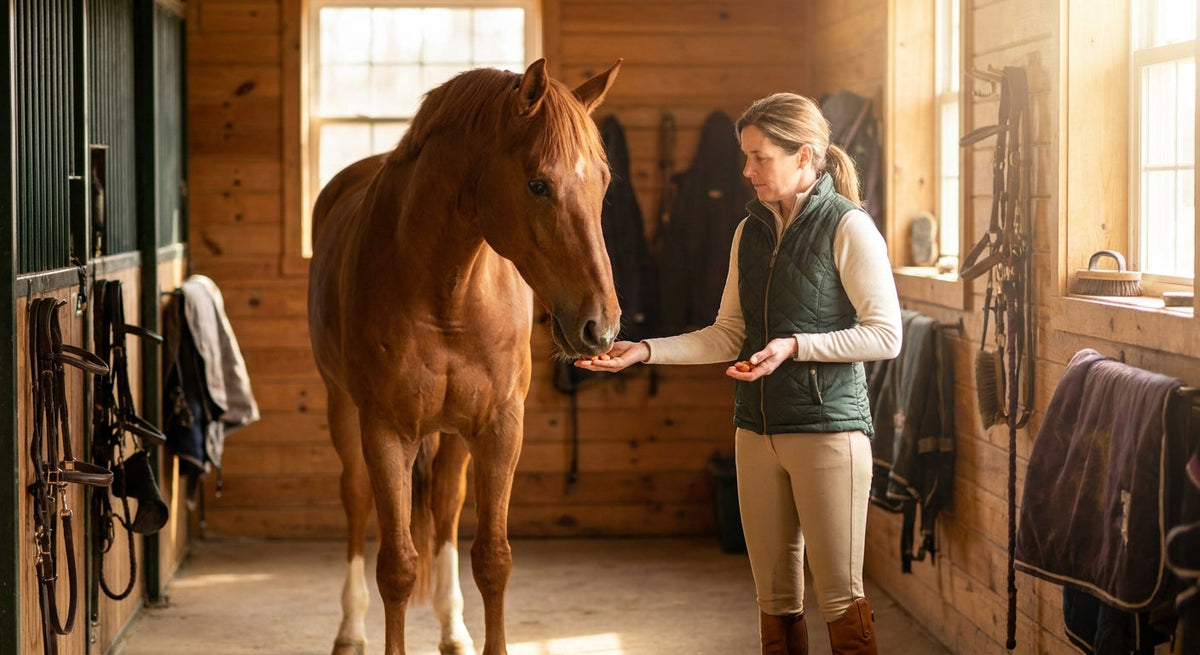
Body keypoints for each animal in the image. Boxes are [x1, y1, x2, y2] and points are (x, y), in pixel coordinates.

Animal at [307, 58, 623, 655]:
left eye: (602, 182)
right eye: (538, 184)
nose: (602, 326)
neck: (446, 295)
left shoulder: (500, 426)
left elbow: (492, 560)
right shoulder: (385, 431)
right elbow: (397, 567)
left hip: (453, 435)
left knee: (447, 506)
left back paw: (453, 631)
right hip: (342, 410)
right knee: (356, 500)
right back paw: (349, 629)